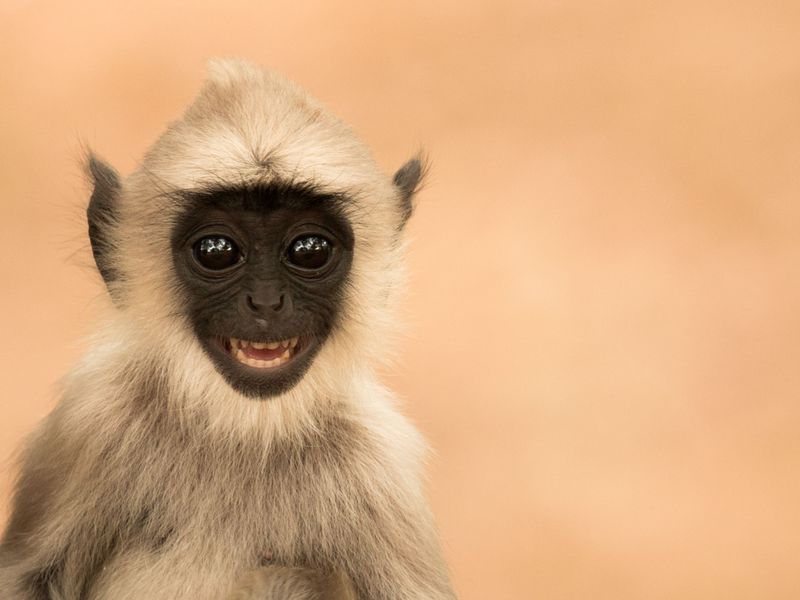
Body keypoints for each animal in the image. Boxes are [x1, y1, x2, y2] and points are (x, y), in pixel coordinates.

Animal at [0, 57, 456, 600]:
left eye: (309, 251)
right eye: (217, 251)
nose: (266, 302)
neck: (242, 429)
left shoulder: (382, 472)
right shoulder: (91, 417)